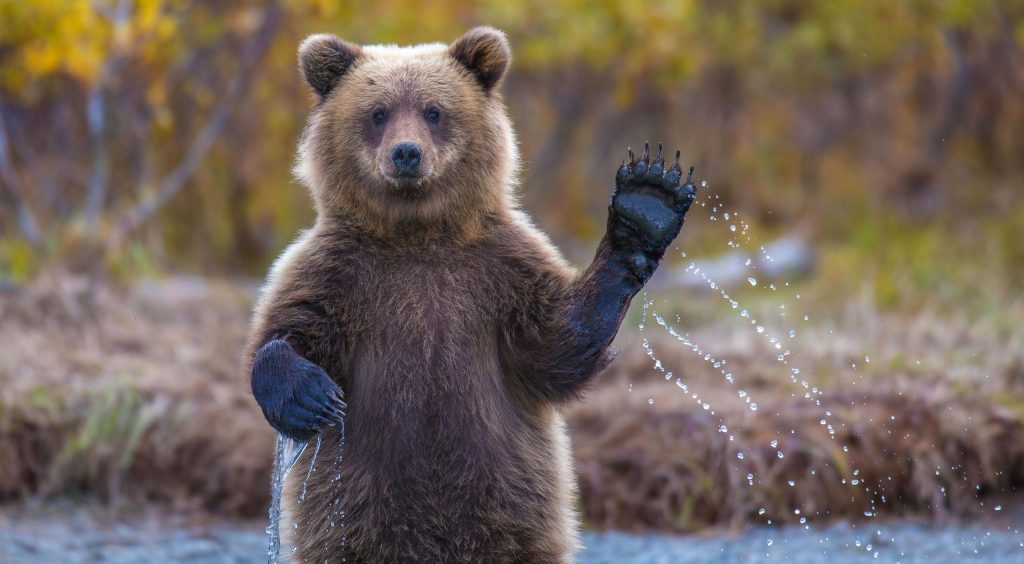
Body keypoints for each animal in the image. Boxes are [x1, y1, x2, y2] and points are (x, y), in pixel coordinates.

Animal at [245, 26, 697, 563]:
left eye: (433, 111)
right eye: (378, 112)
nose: (406, 153)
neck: (417, 235)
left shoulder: (499, 271)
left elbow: (555, 345)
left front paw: (646, 203)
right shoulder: (338, 272)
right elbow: (289, 328)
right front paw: (309, 396)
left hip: (511, 506)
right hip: (352, 513)